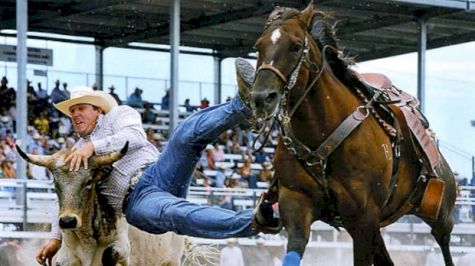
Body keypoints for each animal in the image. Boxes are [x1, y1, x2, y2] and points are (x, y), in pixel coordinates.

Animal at [249, 2, 458, 266]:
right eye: (258, 46)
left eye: (296, 46)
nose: (261, 98)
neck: (321, 139)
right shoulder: (297, 204)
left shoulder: (363, 217)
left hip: (441, 214)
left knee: (444, 244)